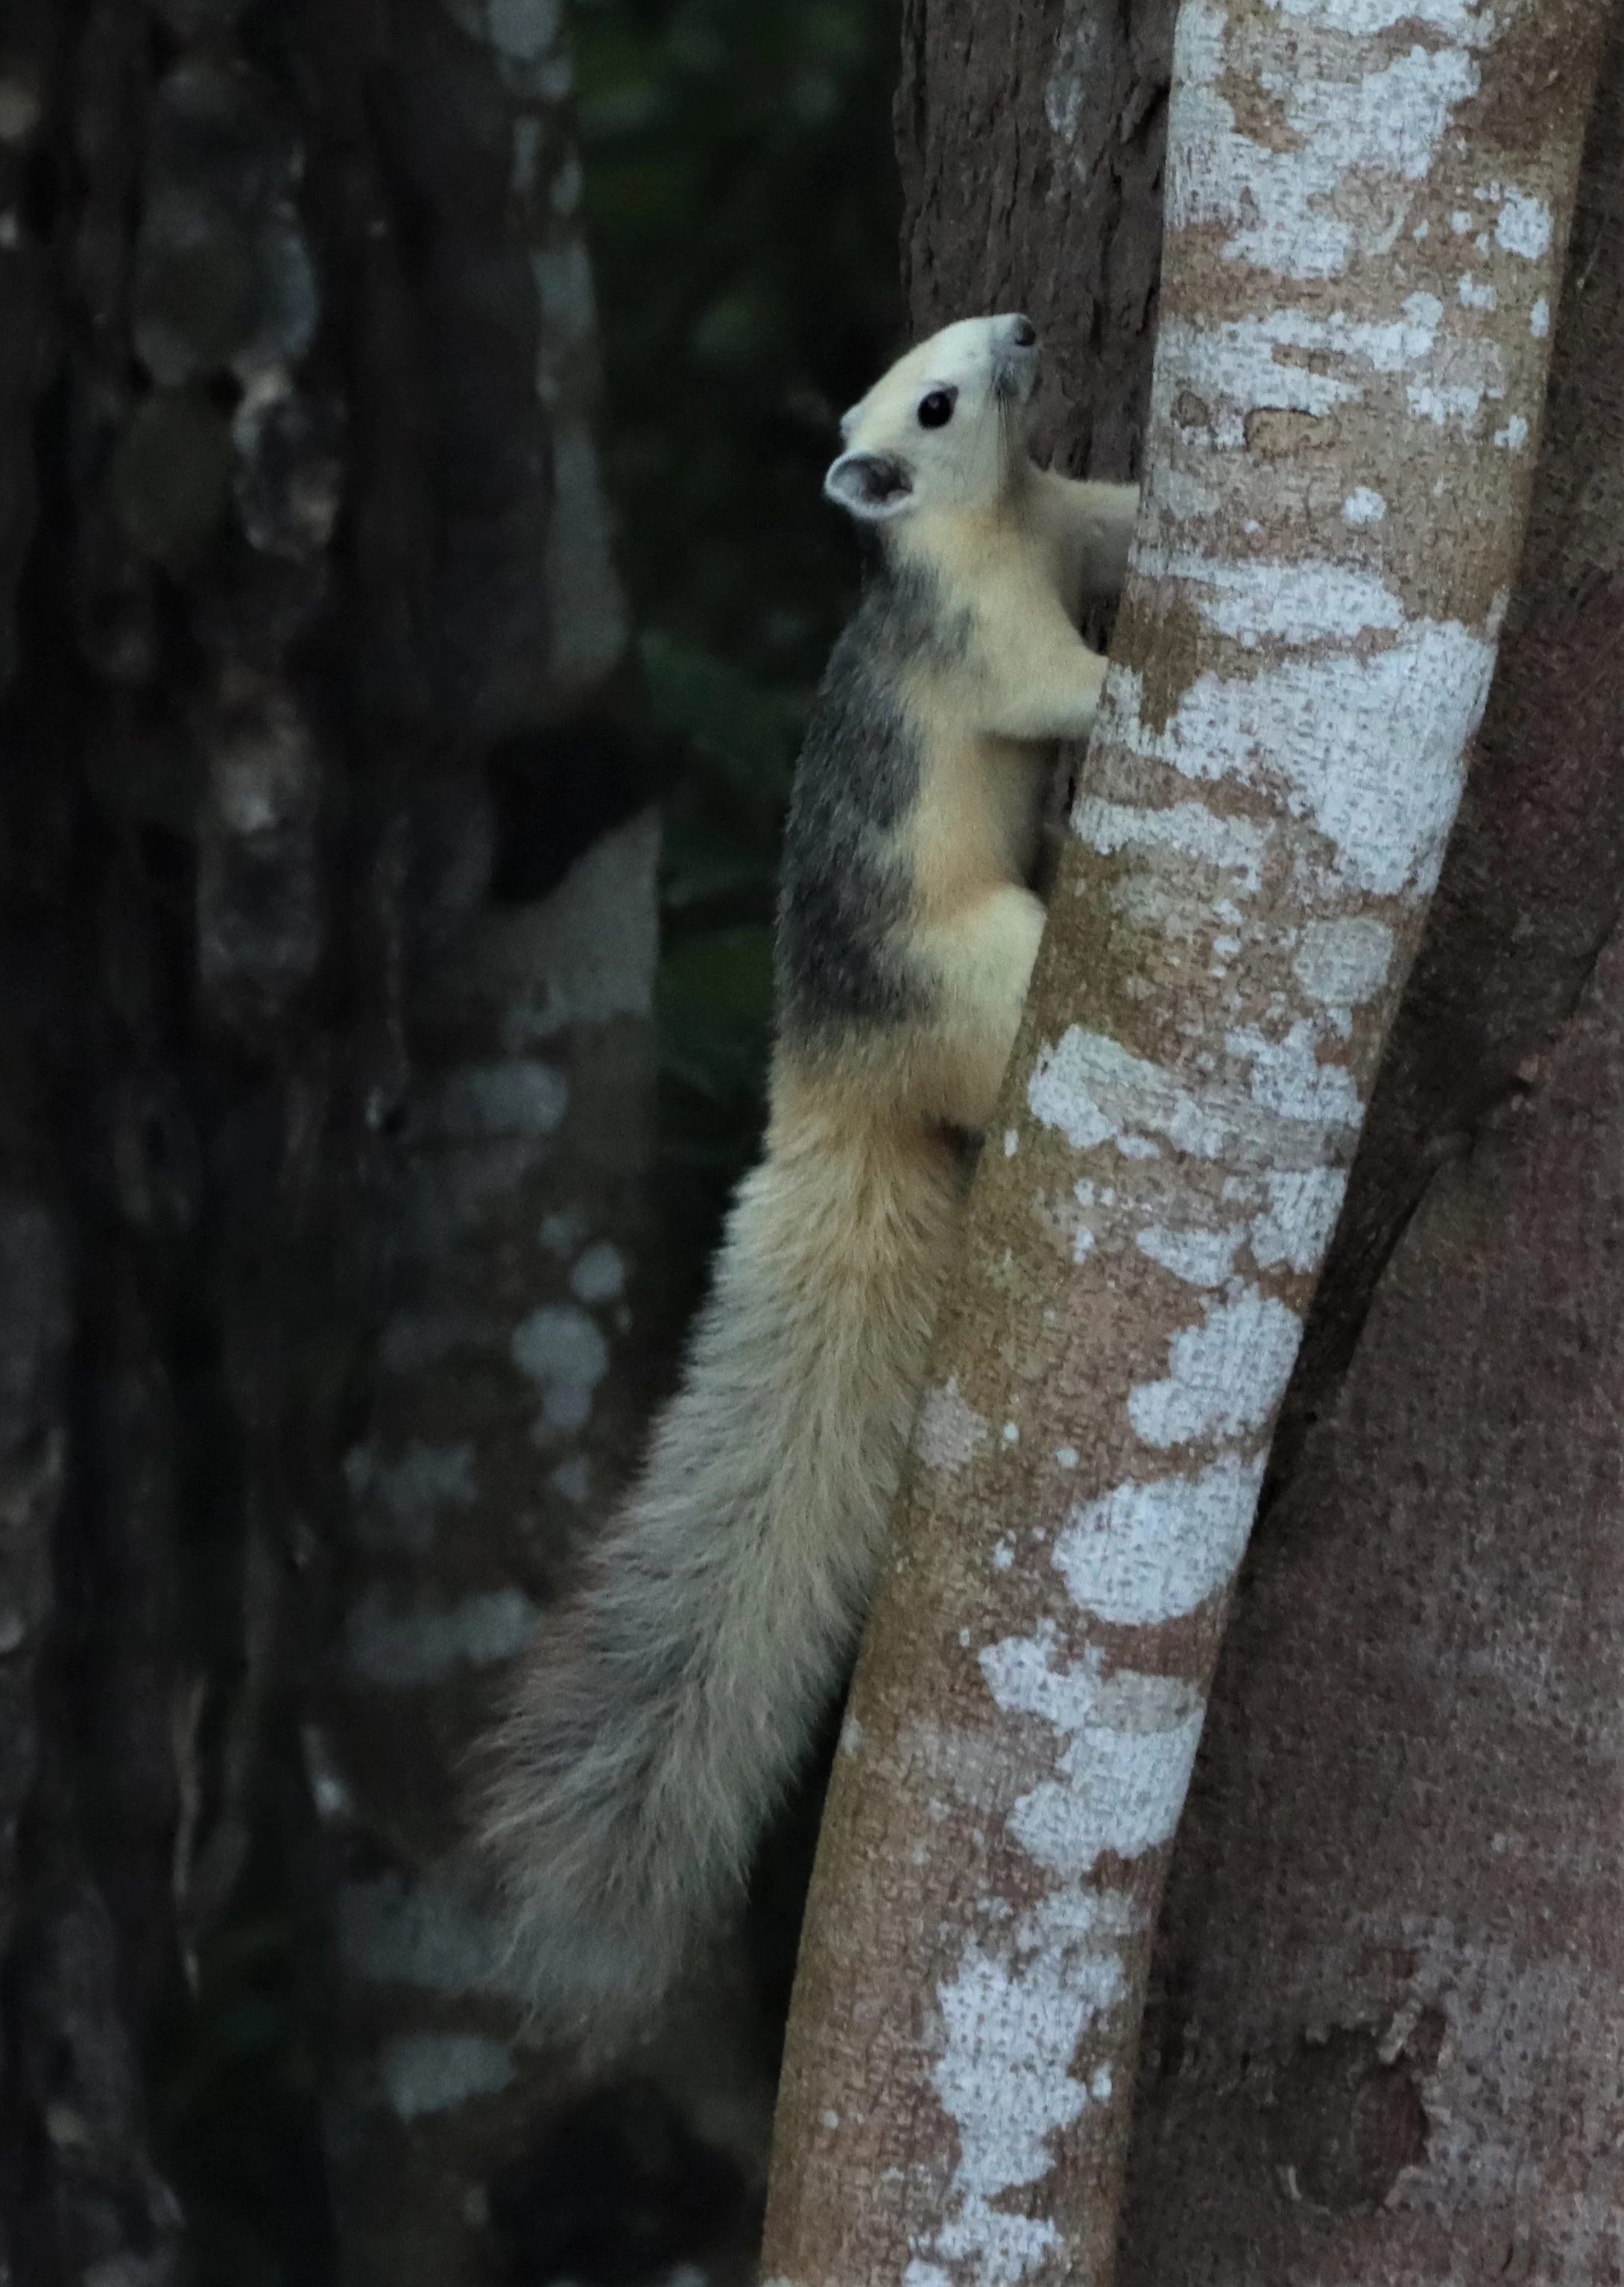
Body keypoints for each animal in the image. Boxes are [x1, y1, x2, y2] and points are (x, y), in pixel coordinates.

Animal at [480, 313, 1138, 2046]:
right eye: (933, 398)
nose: (1024, 330)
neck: (987, 521)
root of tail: (830, 1092)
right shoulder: (983, 636)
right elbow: (1057, 686)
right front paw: (1123, 680)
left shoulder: (1061, 522)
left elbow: (1118, 520)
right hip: (983, 970)